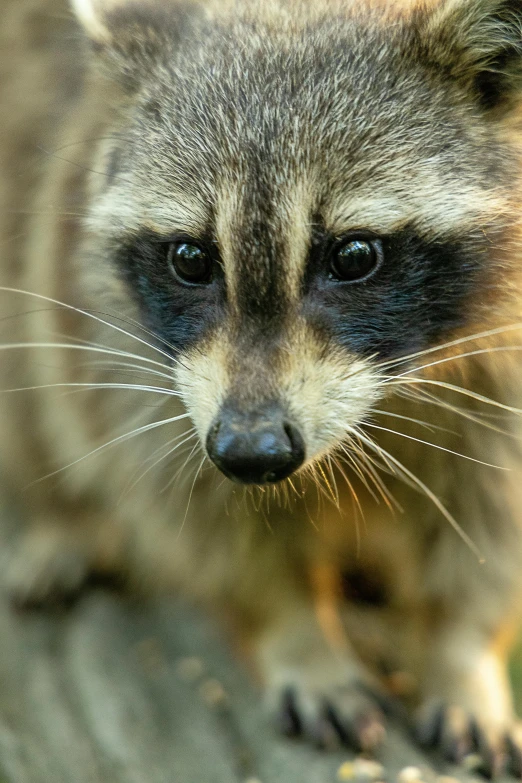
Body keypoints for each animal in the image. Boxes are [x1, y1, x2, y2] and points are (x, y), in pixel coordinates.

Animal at [3, 0, 520, 776]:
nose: (251, 452)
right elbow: (199, 517)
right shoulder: (133, 364)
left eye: (355, 255)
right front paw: (294, 632)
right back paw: (62, 516)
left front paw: (461, 652)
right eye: (190, 258)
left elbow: (494, 521)